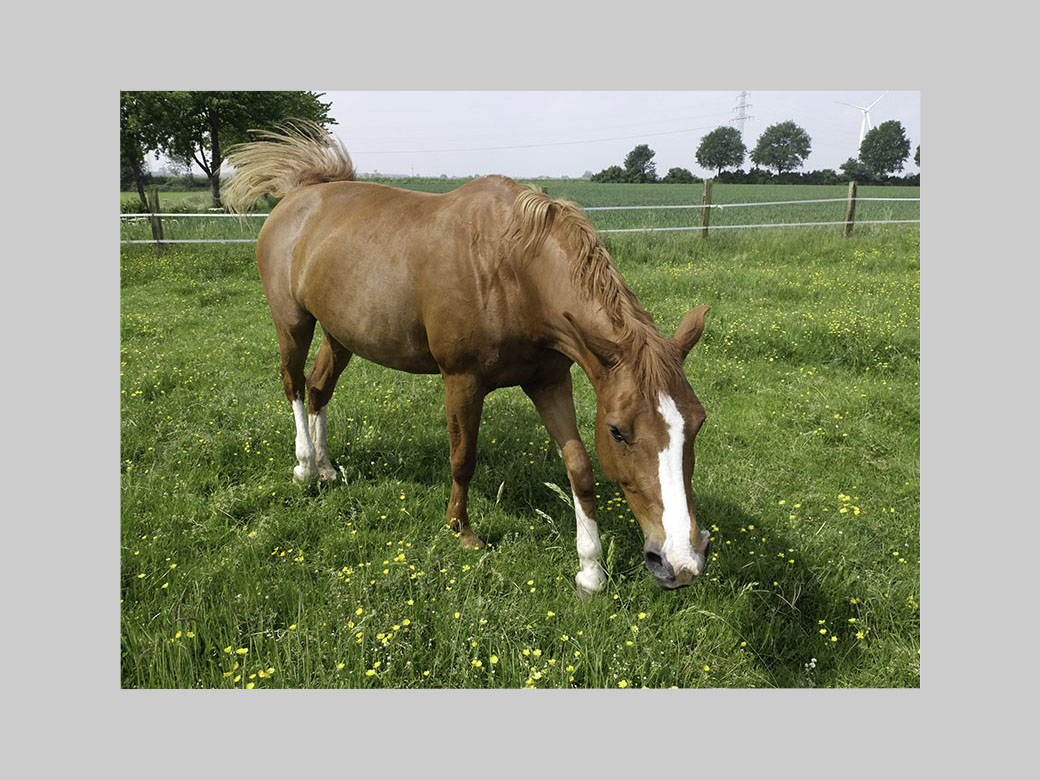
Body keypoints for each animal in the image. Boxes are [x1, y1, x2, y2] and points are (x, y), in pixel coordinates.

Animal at [224, 120, 712, 595]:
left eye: (698, 422)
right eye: (617, 431)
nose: (680, 562)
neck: (512, 269)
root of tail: (298, 194)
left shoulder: (549, 381)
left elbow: (579, 467)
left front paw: (590, 572)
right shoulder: (461, 380)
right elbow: (463, 457)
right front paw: (462, 531)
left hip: (340, 333)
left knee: (319, 387)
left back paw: (327, 467)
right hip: (293, 323)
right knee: (293, 383)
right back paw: (306, 466)